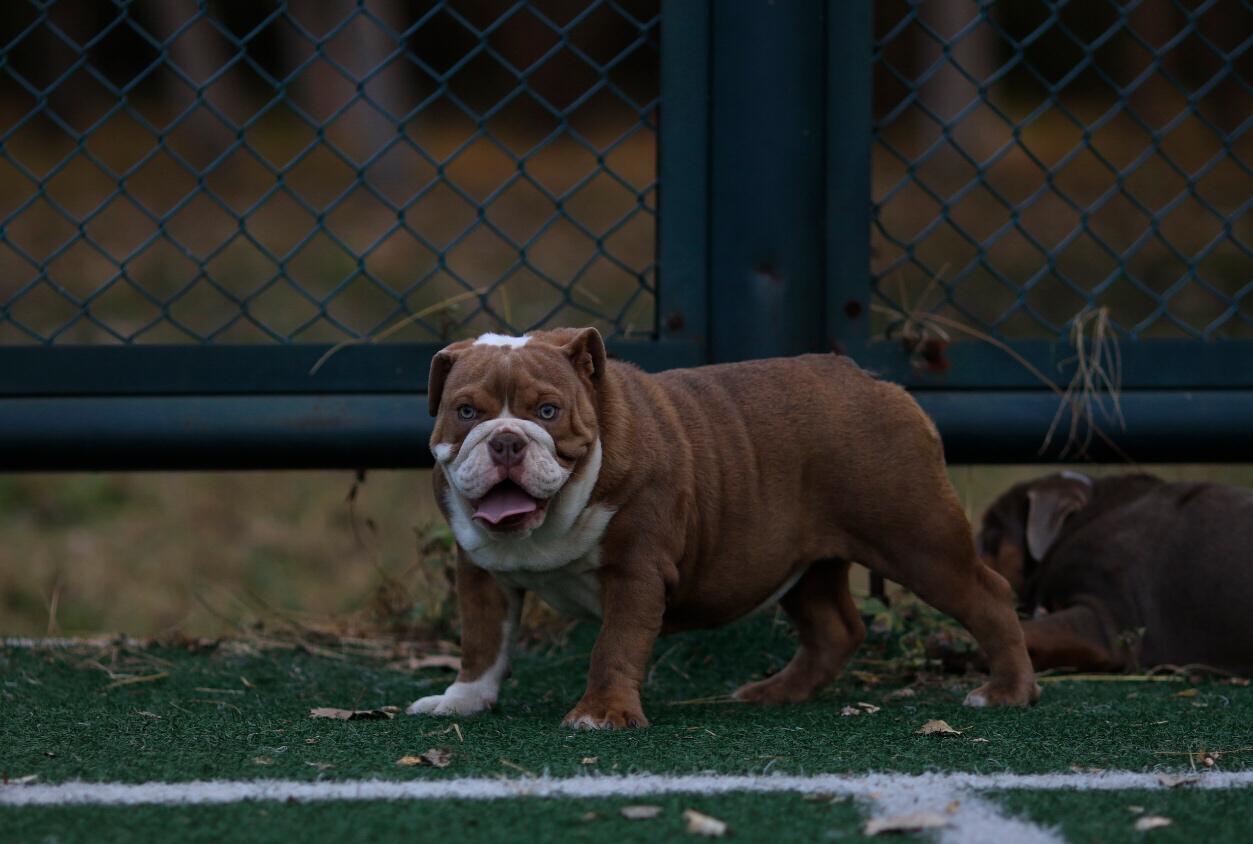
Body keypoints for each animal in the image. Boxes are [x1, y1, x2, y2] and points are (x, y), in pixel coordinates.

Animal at [408, 325, 1037, 726]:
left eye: (547, 412)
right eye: (465, 412)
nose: (506, 440)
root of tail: (876, 382)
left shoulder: (636, 570)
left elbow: (614, 645)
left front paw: (602, 714)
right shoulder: (481, 575)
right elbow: (482, 642)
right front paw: (463, 700)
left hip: (918, 537)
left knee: (988, 595)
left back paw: (1007, 692)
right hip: (799, 560)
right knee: (834, 627)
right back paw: (776, 693)